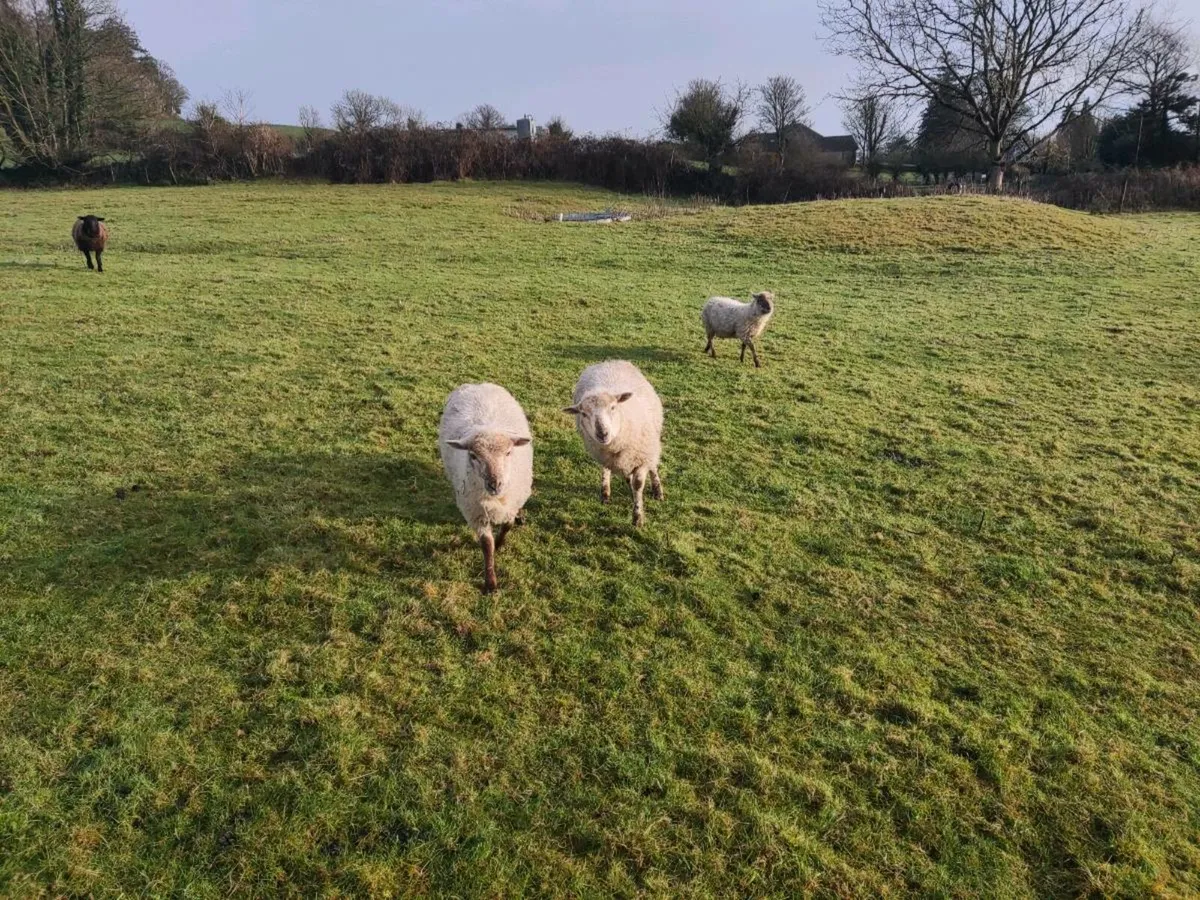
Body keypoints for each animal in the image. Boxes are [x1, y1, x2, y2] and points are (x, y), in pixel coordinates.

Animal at [438, 383, 533, 593]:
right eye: (473, 456)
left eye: (508, 452)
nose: (494, 484)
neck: (496, 499)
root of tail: (477, 384)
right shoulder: (476, 513)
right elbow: (486, 546)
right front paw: (490, 583)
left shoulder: (512, 504)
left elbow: (508, 526)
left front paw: (500, 543)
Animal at [564, 360, 663, 527]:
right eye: (583, 413)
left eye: (613, 407)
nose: (602, 433)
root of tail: (608, 361)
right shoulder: (606, 454)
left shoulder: (643, 455)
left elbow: (638, 483)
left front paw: (638, 517)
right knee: (607, 468)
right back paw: (606, 491)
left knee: (653, 465)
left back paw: (657, 490)